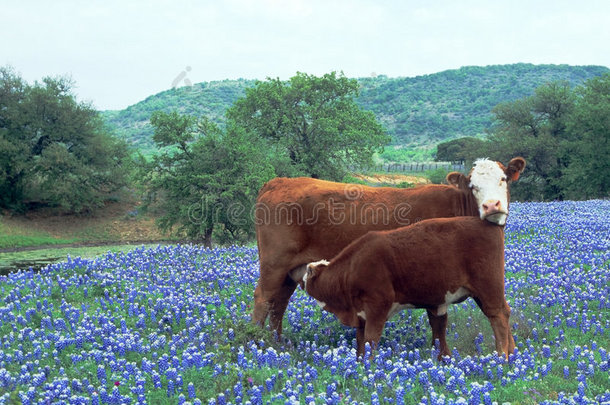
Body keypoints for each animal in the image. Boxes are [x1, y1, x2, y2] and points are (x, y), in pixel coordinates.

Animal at [252, 156, 524, 332]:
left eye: (503, 179)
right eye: (473, 185)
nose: (491, 206)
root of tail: (278, 182)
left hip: (291, 270)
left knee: (279, 304)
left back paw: (279, 344)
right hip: (274, 265)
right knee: (263, 299)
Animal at [290, 216, 512, 358]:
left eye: (307, 273)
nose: (294, 275)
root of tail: (490, 225)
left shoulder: (377, 306)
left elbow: (371, 340)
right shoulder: (361, 314)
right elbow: (360, 343)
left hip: (488, 288)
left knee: (498, 317)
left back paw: (502, 356)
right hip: (482, 294)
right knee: (505, 312)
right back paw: (512, 353)